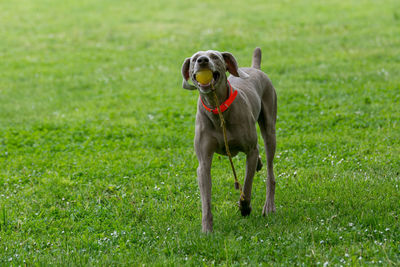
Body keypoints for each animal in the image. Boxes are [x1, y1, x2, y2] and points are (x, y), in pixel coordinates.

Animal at [180, 47, 276, 232]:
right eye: (195, 59)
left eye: (215, 57)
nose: (203, 60)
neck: (217, 109)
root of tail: (255, 68)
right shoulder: (203, 164)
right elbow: (206, 200)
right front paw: (207, 230)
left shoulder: (250, 151)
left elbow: (247, 184)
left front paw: (245, 207)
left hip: (269, 129)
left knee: (270, 173)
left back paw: (269, 206)